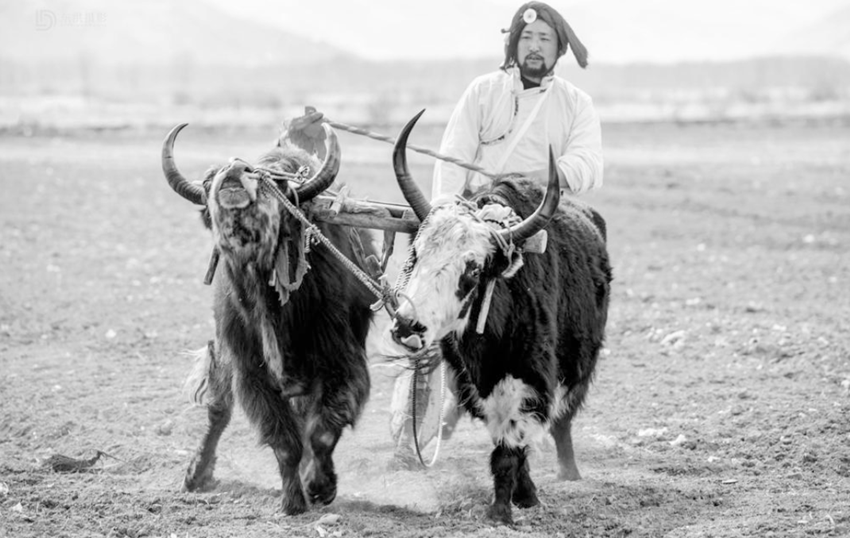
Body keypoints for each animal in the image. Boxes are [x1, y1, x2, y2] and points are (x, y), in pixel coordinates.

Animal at [160, 124, 376, 515]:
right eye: (211, 178)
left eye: (274, 184)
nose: (234, 171)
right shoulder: (250, 372)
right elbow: (283, 440)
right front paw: (293, 500)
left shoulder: (341, 363)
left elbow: (321, 431)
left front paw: (319, 486)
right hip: (223, 356)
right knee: (218, 410)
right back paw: (196, 474)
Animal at [385, 111, 612, 524]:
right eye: (416, 253)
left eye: (473, 269)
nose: (408, 325)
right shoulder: (473, 381)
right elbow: (502, 439)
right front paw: (523, 495)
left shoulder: (529, 377)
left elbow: (511, 445)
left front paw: (502, 511)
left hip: (581, 366)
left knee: (563, 421)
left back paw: (569, 471)